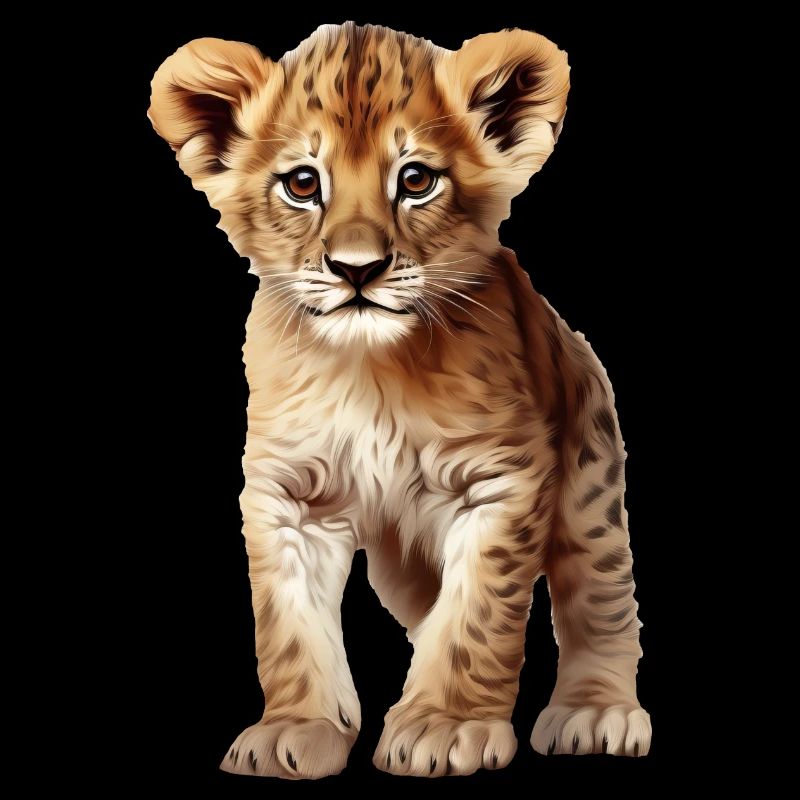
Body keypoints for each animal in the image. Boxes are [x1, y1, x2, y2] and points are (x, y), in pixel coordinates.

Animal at [148, 22, 651, 779]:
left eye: (416, 180)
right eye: (303, 184)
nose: (356, 269)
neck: (369, 370)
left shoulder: (501, 481)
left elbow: (477, 617)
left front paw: (444, 725)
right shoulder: (289, 494)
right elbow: (289, 627)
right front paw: (295, 728)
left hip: (588, 479)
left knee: (600, 596)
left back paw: (597, 711)